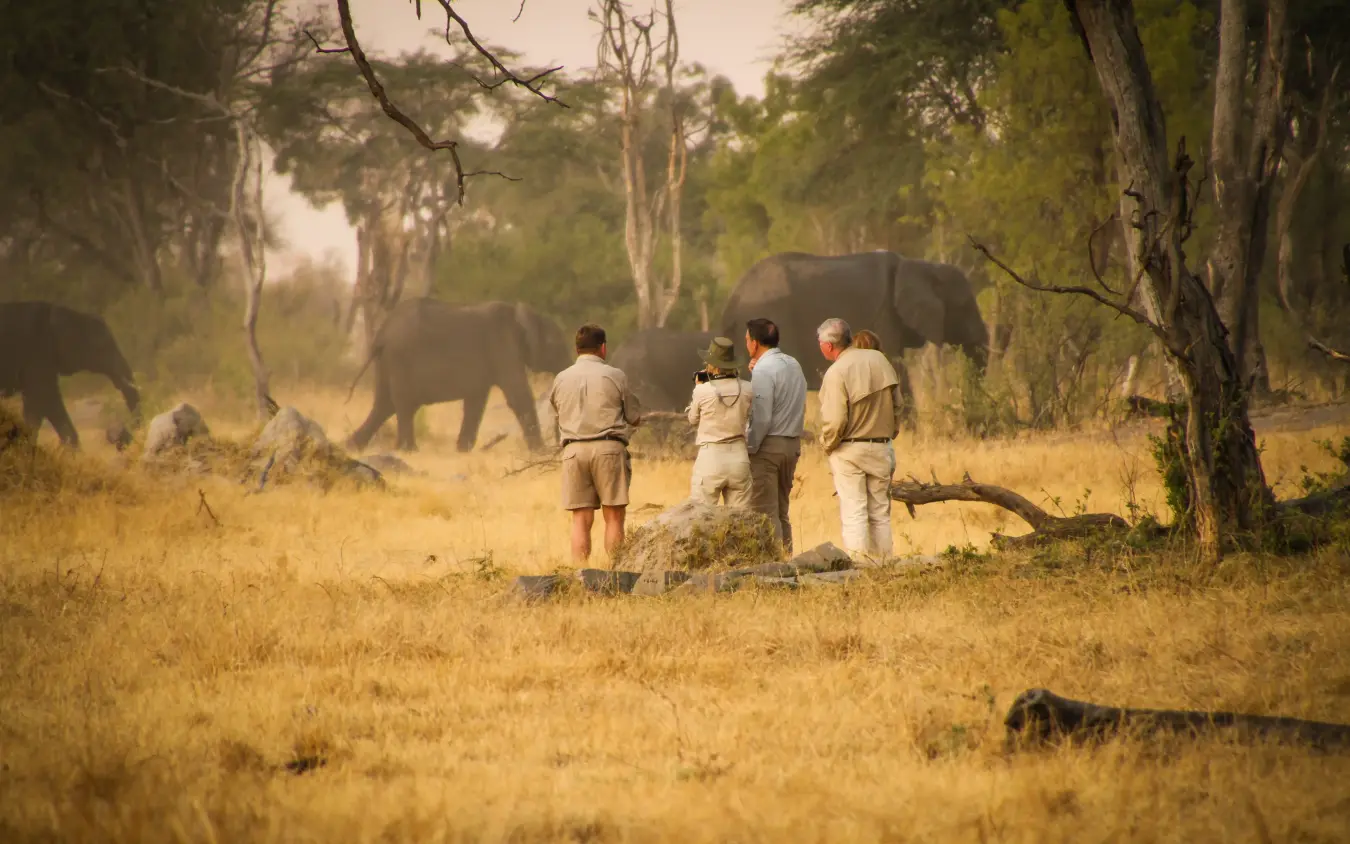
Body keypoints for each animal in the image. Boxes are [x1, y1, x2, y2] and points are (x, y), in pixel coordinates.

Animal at [344, 298, 571, 453]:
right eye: (558, 346)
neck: (523, 315)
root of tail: (381, 333)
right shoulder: (503, 347)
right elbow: (518, 396)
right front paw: (540, 452)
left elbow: (476, 402)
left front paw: (463, 450)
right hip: (400, 358)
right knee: (403, 405)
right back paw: (408, 450)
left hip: (387, 362)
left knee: (384, 405)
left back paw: (351, 446)